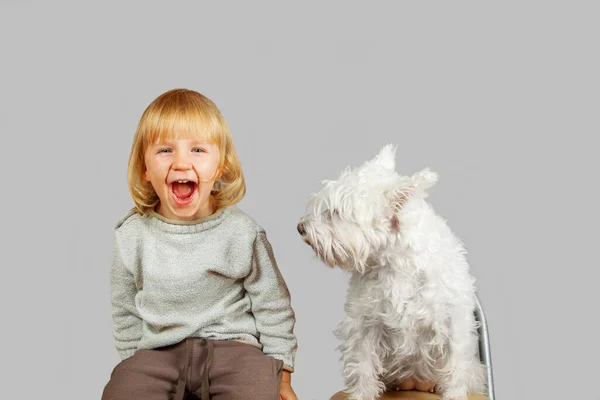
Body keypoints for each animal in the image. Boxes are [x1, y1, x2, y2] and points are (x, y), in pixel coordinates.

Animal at [298, 145, 486, 400]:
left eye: (335, 213)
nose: (300, 227)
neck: (395, 263)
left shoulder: (452, 325)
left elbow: (455, 367)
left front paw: (453, 395)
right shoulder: (364, 325)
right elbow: (363, 366)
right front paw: (361, 395)